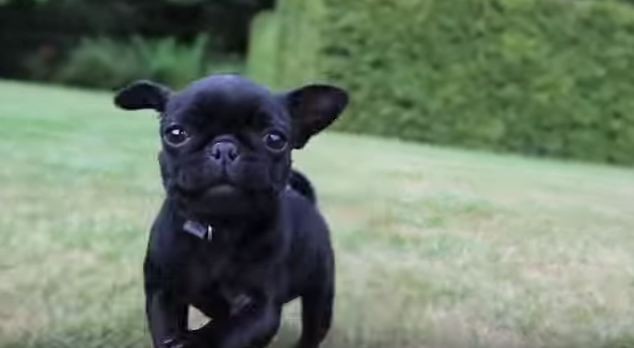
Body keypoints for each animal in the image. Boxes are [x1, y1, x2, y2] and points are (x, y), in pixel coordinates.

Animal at [115, 74, 346, 348]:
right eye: (176, 134)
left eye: (275, 139)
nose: (224, 148)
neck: (219, 228)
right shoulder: (163, 293)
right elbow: (166, 328)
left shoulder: (260, 309)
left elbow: (225, 333)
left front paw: (195, 341)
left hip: (319, 299)